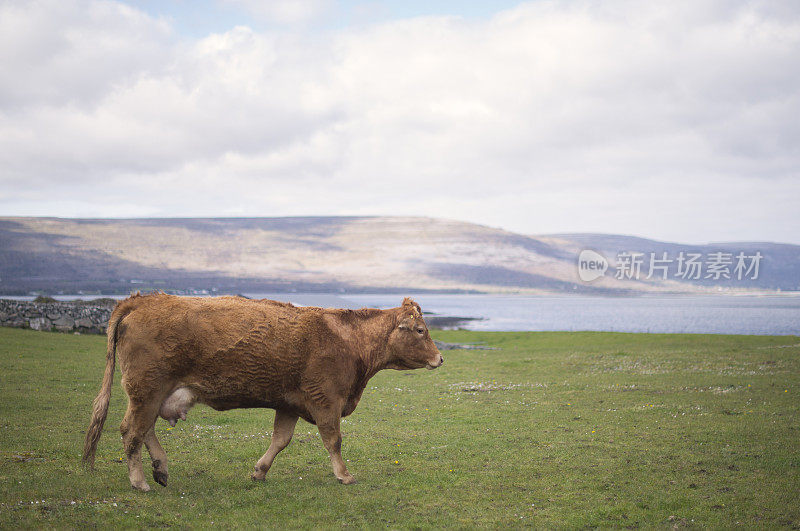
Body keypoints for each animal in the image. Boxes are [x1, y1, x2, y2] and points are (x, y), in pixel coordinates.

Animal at [83, 294, 444, 492]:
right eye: (420, 330)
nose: (440, 358)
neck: (346, 339)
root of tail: (143, 299)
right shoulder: (325, 400)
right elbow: (333, 440)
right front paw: (344, 475)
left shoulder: (290, 404)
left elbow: (280, 440)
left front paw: (260, 471)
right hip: (147, 390)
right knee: (132, 431)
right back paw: (140, 481)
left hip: (152, 394)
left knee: (144, 430)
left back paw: (160, 468)